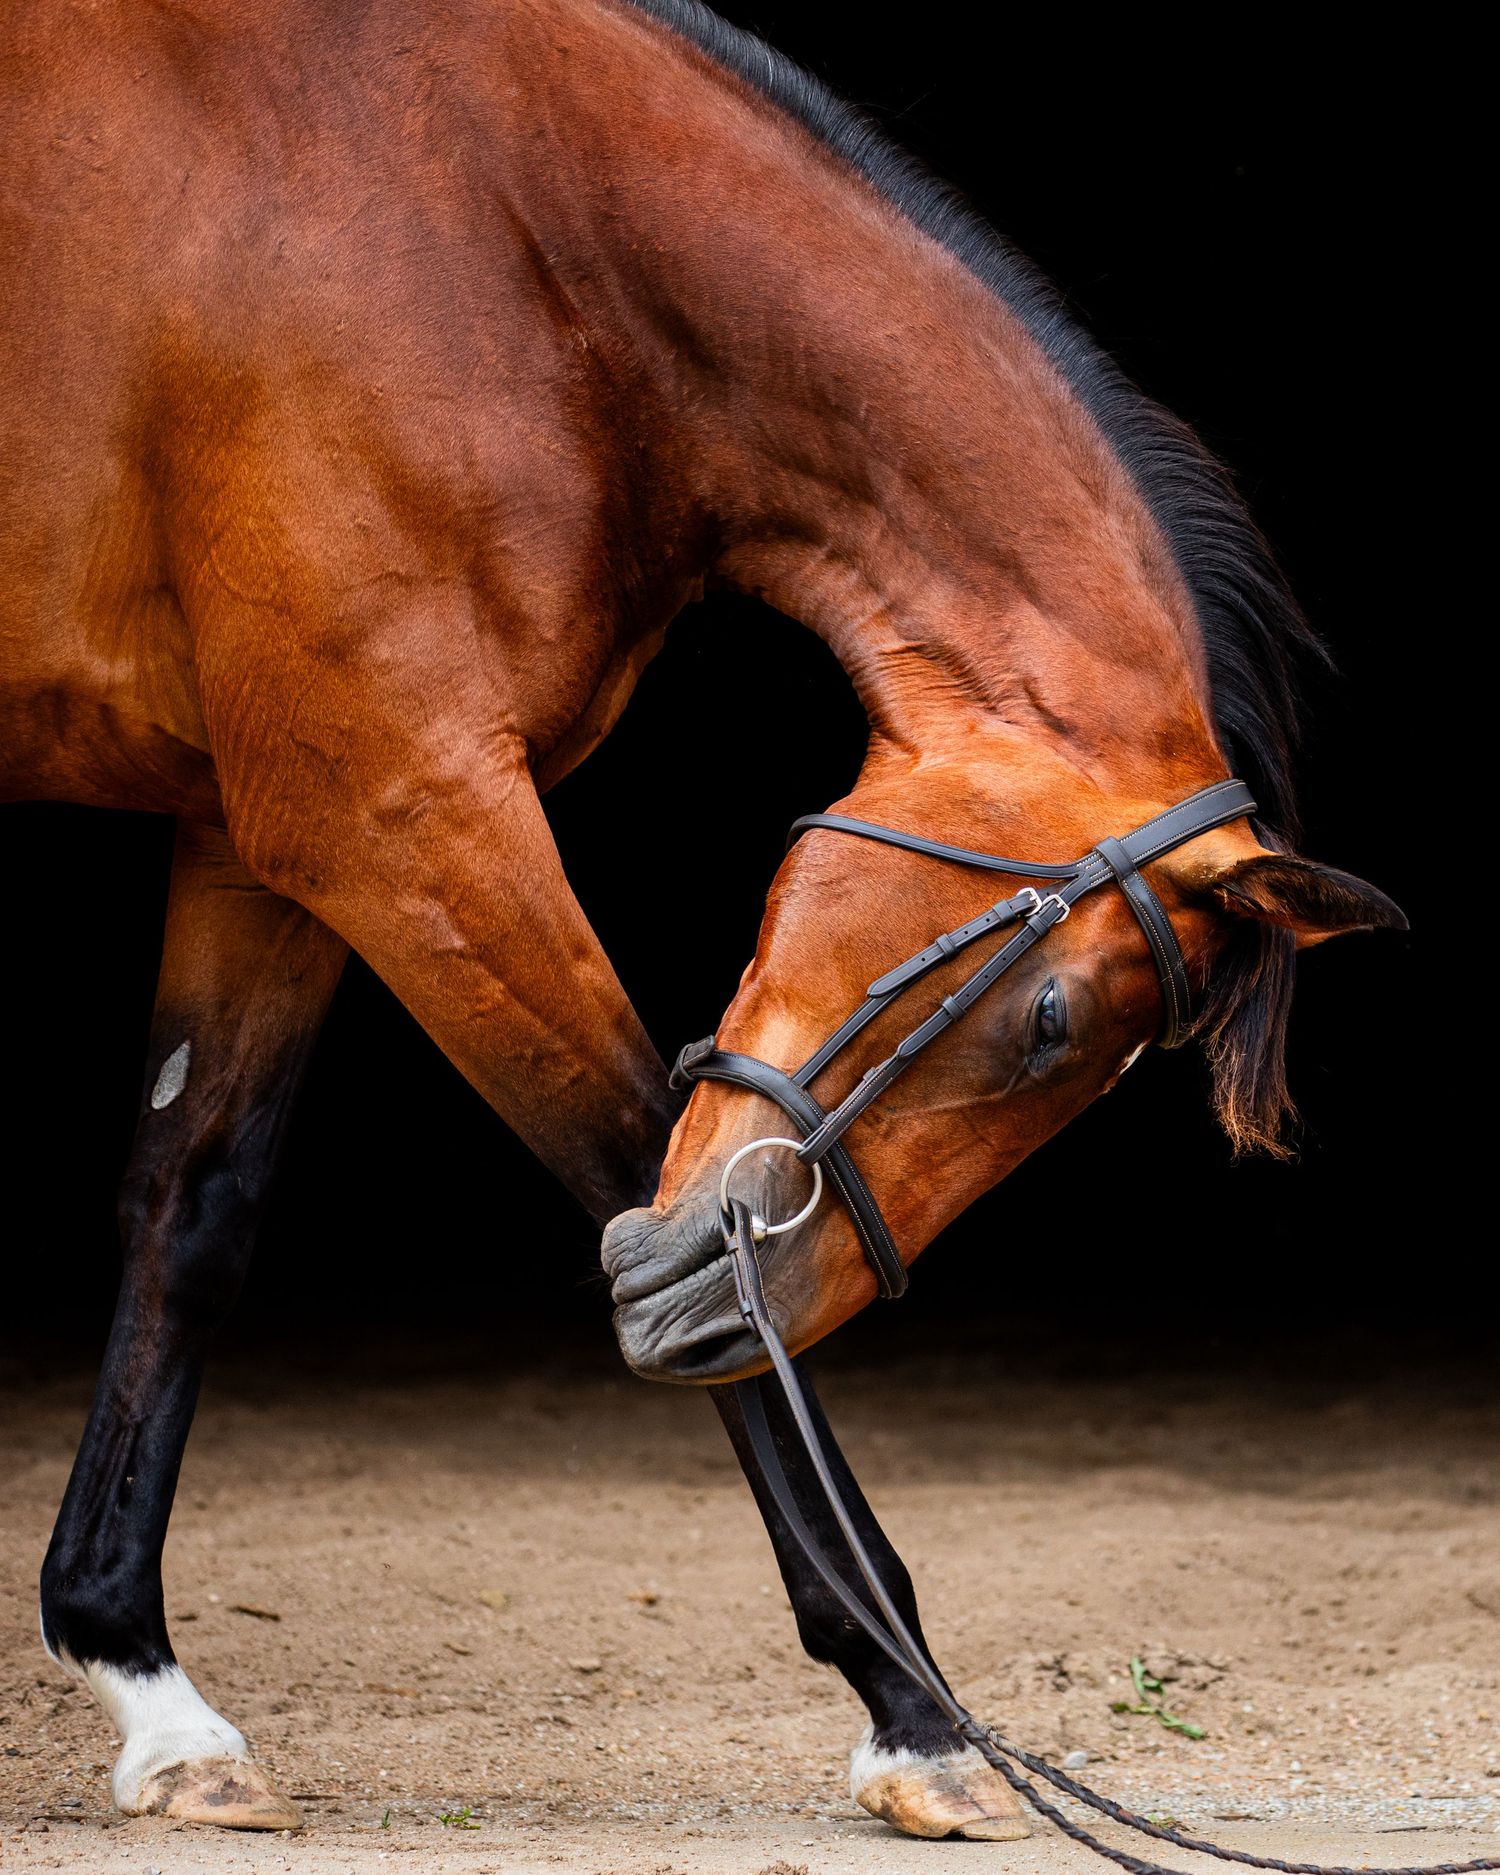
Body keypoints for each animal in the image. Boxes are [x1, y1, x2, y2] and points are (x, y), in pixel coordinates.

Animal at [0, 0, 1403, 1843]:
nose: (707, 1306)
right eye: (1051, 1020)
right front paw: (910, 1698)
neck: (500, 225)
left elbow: (189, 1210)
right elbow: (624, 1143)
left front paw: (146, 1686)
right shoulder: (405, 812)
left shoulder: (266, 829)